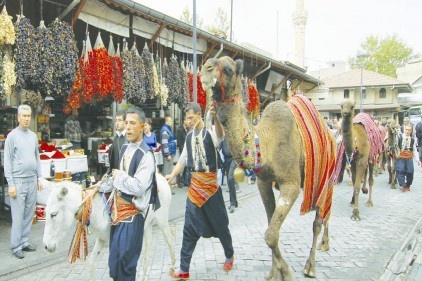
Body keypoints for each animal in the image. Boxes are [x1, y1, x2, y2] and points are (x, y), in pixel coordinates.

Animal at [42, 174, 175, 280]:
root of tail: (161, 177)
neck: (93, 209)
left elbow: (114, 266)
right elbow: (91, 263)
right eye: (45, 212)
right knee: (148, 249)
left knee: (169, 240)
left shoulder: (113, 239)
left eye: (53, 214)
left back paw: (173, 268)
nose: (47, 246)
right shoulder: (102, 238)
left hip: (162, 219)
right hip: (147, 225)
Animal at [201, 56, 336, 280]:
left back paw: (310, 267)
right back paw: (325, 245)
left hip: (325, 177)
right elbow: (270, 228)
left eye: (228, 69)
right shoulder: (263, 182)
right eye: (208, 64)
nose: (206, 69)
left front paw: (286, 272)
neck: (266, 143)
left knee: (319, 218)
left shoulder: (290, 183)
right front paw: (274, 273)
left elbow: (271, 235)